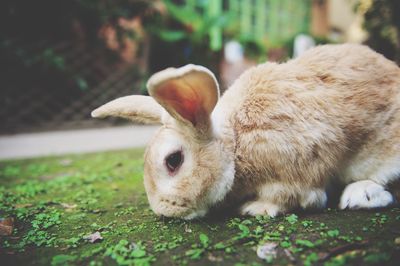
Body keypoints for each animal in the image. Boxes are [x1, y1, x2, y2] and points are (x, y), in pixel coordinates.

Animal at [91, 43, 400, 218]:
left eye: (173, 160)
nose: (163, 211)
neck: (236, 143)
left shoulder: (294, 172)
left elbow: (293, 197)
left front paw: (256, 209)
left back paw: (360, 195)